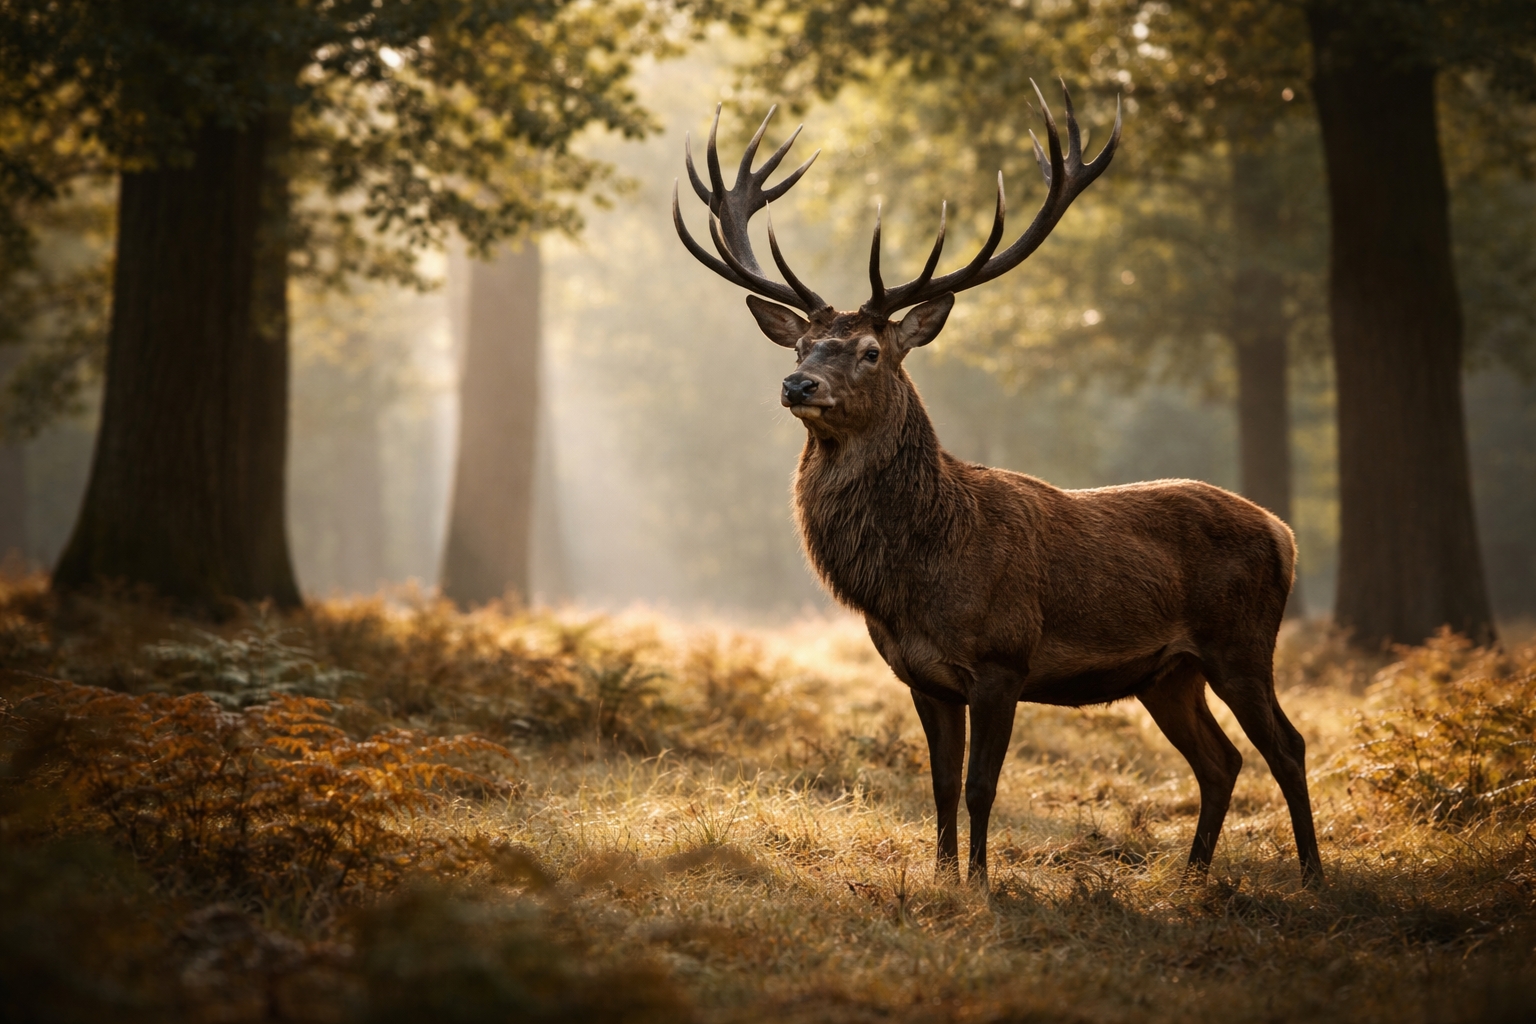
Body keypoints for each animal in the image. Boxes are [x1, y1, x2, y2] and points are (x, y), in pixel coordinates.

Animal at [671, 84, 1322, 888]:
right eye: (801, 345)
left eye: (870, 350)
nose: (798, 385)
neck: (917, 577)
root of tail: (1283, 533)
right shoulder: (921, 676)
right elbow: (940, 785)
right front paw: (942, 878)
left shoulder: (1003, 660)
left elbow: (981, 785)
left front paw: (981, 884)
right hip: (1169, 674)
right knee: (1220, 760)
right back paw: (1191, 878)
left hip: (1242, 642)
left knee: (1286, 746)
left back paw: (1312, 875)